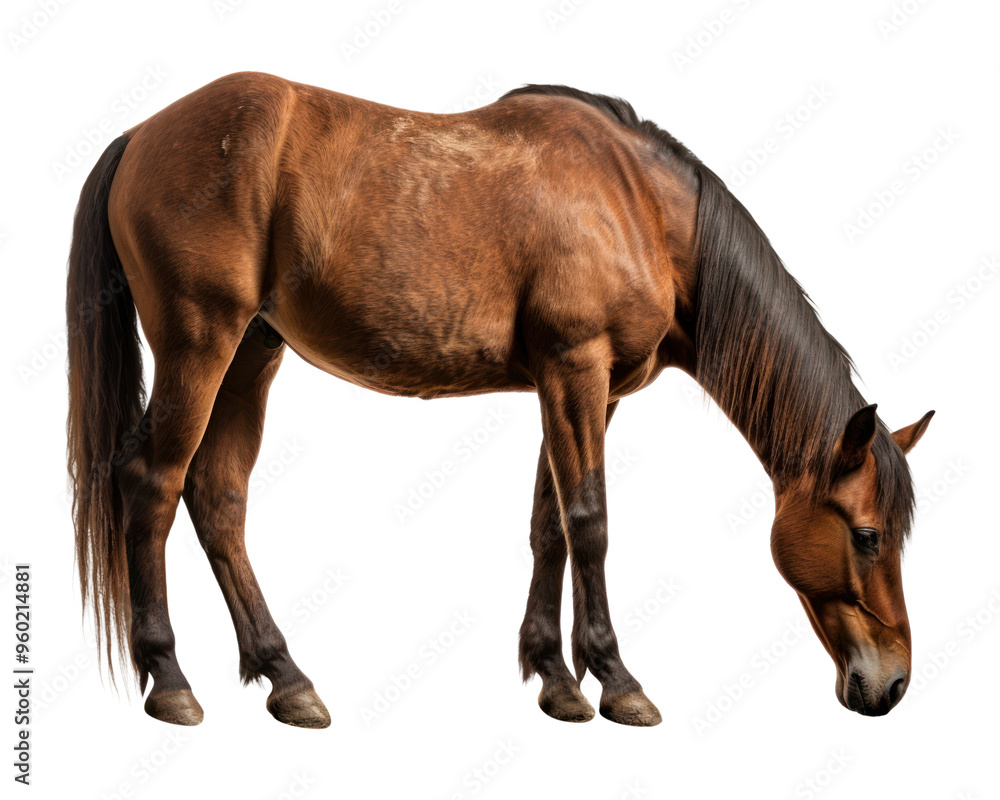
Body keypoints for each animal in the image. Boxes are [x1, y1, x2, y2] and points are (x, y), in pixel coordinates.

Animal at [67, 73, 933, 729]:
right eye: (866, 535)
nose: (890, 684)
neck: (637, 203)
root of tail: (141, 134)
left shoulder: (582, 387)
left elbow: (551, 526)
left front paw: (555, 678)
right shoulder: (576, 367)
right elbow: (591, 522)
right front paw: (618, 681)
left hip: (252, 351)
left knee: (217, 498)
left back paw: (287, 678)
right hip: (200, 342)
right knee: (153, 485)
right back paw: (171, 680)